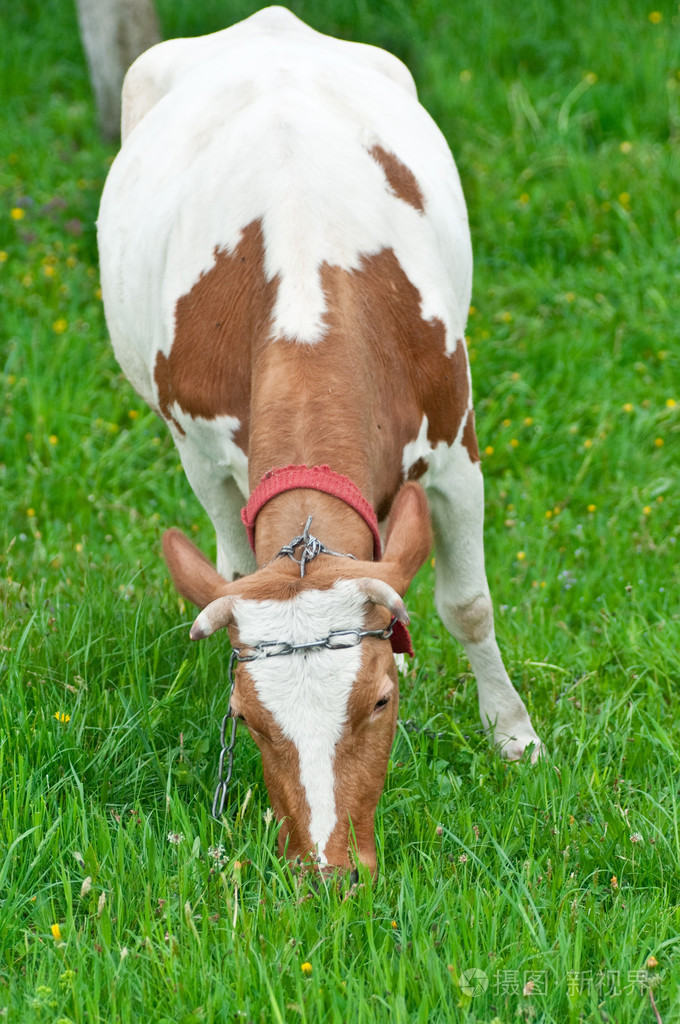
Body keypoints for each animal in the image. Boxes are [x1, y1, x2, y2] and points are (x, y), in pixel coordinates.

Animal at [96, 4, 540, 876]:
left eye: (380, 701)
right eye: (248, 718)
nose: (329, 871)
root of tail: (267, 20)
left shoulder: (456, 446)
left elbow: (468, 604)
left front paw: (514, 737)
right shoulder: (199, 453)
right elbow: (235, 570)